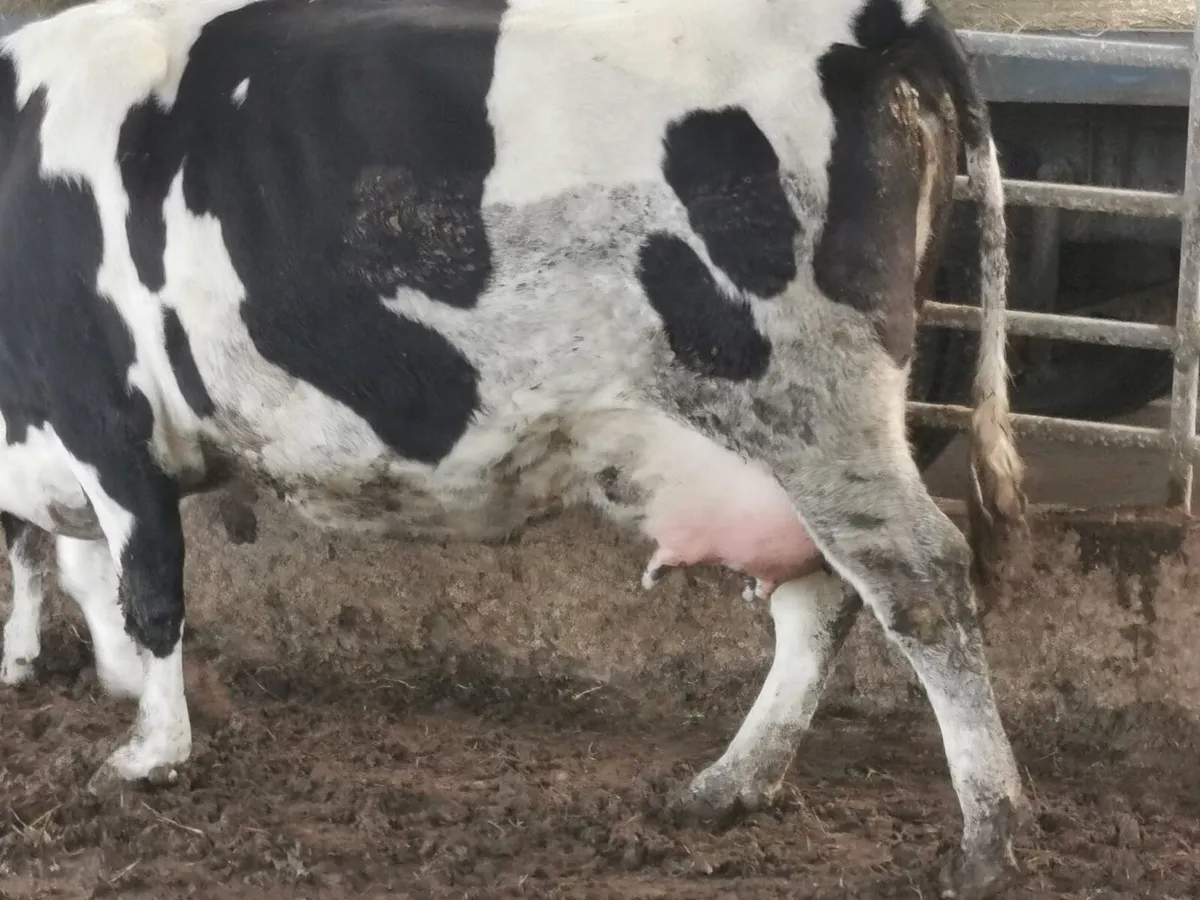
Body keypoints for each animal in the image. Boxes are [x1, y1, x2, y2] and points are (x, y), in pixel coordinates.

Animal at [0, 0, 1028, 895]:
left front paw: (150, 751)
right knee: (823, 595)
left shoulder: (108, 425)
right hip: (776, 447)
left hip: (815, 405)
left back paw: (989, 837)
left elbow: (146, 593)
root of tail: (884, 18)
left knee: (920, 579)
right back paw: (731, 785)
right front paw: (58, 674)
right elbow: (58, 562)